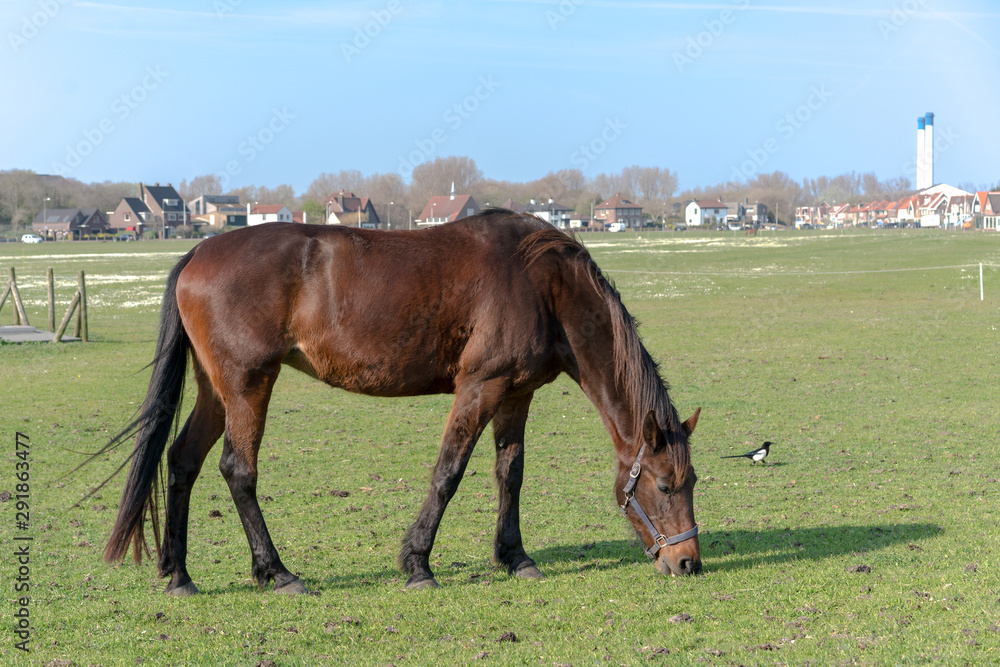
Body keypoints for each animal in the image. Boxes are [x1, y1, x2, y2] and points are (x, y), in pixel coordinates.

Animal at [97, 209, 702, 595]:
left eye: (691, 482)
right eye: (665, 485)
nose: (687, 562)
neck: (542, 282)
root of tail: (199, 250)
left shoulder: (516, 394)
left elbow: (510, 473)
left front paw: (515, 557)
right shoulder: (480, 387)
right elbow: (448, 473)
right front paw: (417, 564)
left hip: (216, 390)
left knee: (182, 462)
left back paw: (179, 575)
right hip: (248, 385)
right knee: (237, 470)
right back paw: (278, 572)